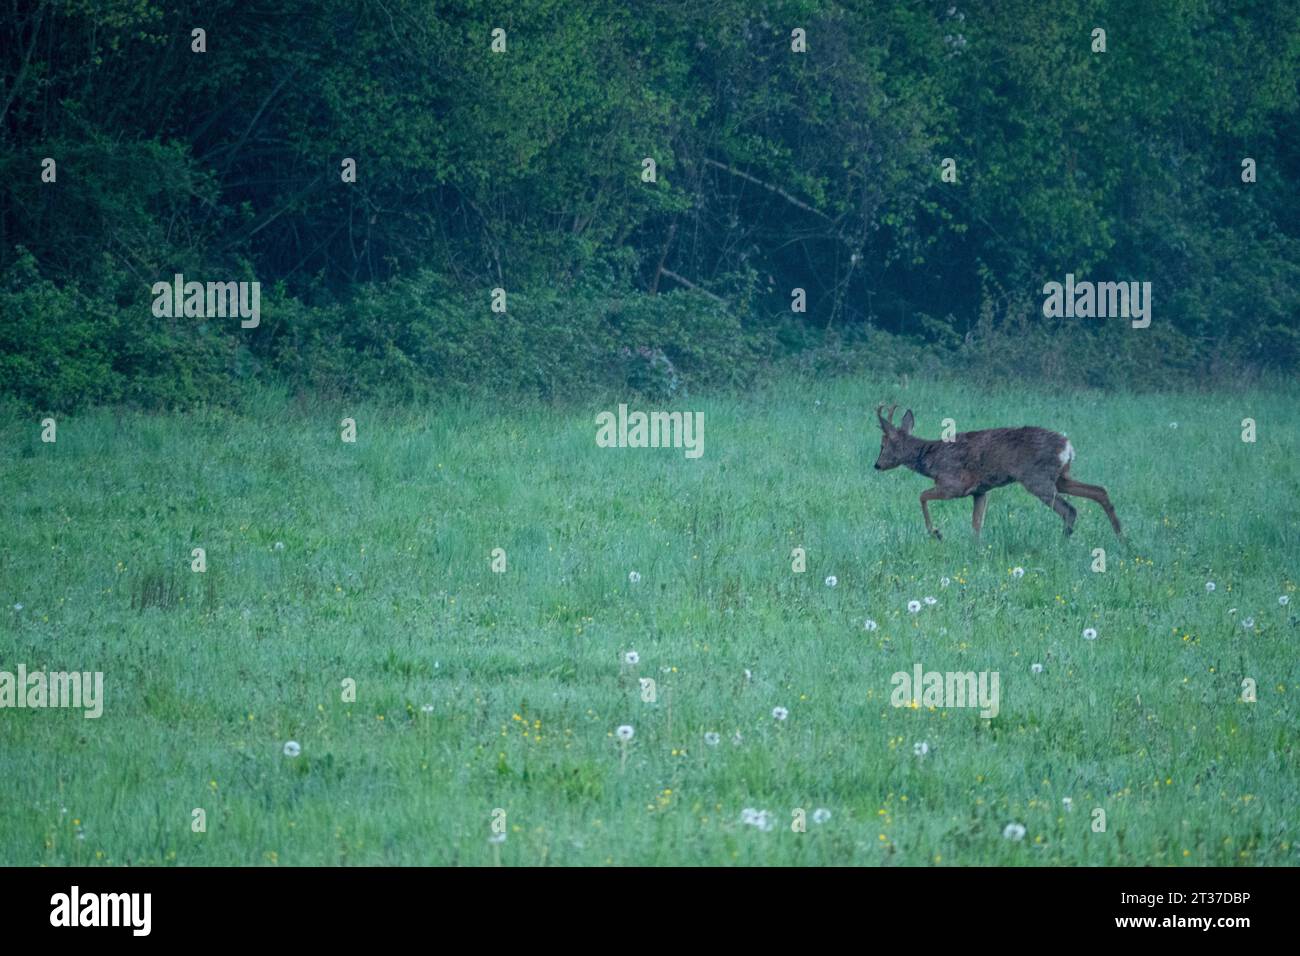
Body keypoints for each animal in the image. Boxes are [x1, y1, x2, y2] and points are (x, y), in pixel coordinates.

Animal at [872, 404, 1122, 540]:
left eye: (883, 445)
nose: (877, 465)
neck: (930, 459)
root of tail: (1067, 447)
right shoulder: (980, 491)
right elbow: (976, 524)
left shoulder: (953, 485)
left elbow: (922, 496)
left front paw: (936, 533)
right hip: (1061, 477)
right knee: (1099, 491)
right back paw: (1121, 537)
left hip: (1037, 478)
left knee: (1069, 509)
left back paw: (1063, 543)